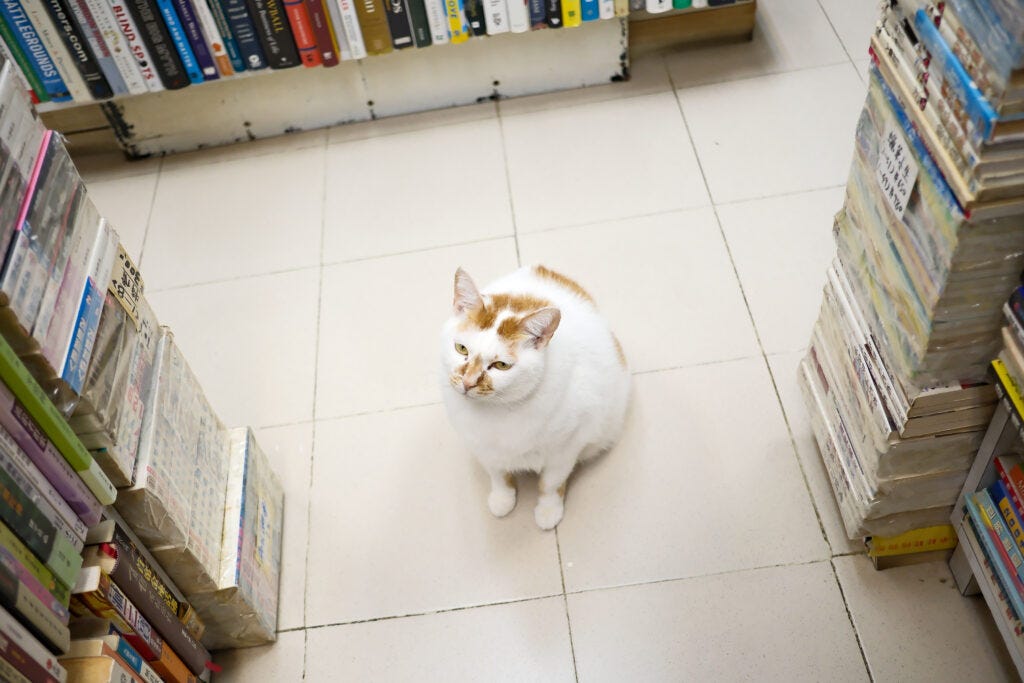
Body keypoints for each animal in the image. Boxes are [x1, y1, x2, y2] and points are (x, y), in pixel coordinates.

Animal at [439, 265, 631, 530]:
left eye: (501, 365)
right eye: (461, 349)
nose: (468, 383)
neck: (498, 411)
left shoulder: (566, 449)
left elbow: (550, 484)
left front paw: (548, 511)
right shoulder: (483, 447)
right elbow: (498, 475)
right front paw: (502, 499)